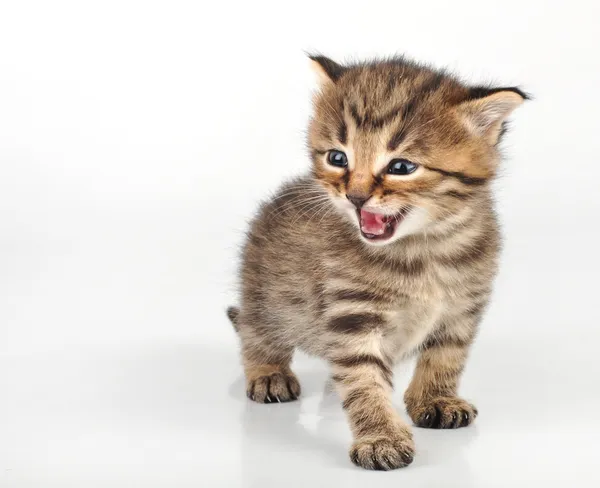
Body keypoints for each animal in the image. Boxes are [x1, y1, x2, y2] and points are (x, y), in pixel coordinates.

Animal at [227, 55, 528, 470]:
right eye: (338, 158)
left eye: (401, 167)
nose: (355, 197)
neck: (423, 251)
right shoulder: (352, 315)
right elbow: (363, 379)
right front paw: (380, 437)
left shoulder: (463, 307)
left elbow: (446, 357)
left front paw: (435, 399)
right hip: (264, 293)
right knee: (255, 332)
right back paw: (269, 372)